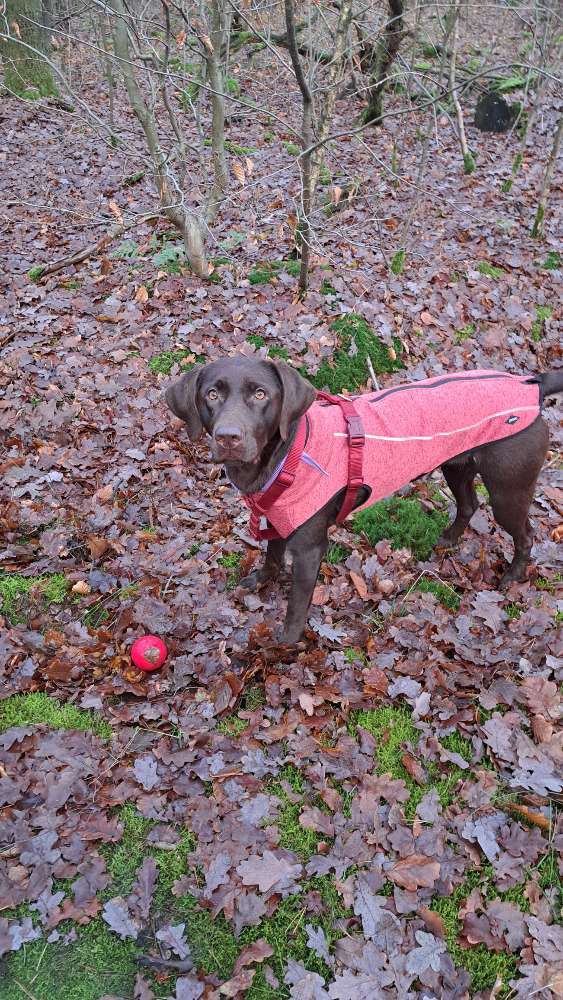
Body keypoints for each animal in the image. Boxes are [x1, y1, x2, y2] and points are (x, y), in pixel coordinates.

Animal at [165, 358, 560, 640]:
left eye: (260, 394)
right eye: (212, 394)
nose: (228, 437)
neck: (285, 456)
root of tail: (530, 385)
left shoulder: (309, 548)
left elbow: (296, 606)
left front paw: (285, 645)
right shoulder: (277, 516)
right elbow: (272, 556)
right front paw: (262, 580)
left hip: (508, 489)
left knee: (525, 533)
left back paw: (513, 576)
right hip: (457, 465)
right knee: (469, 505)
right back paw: (446, 541)